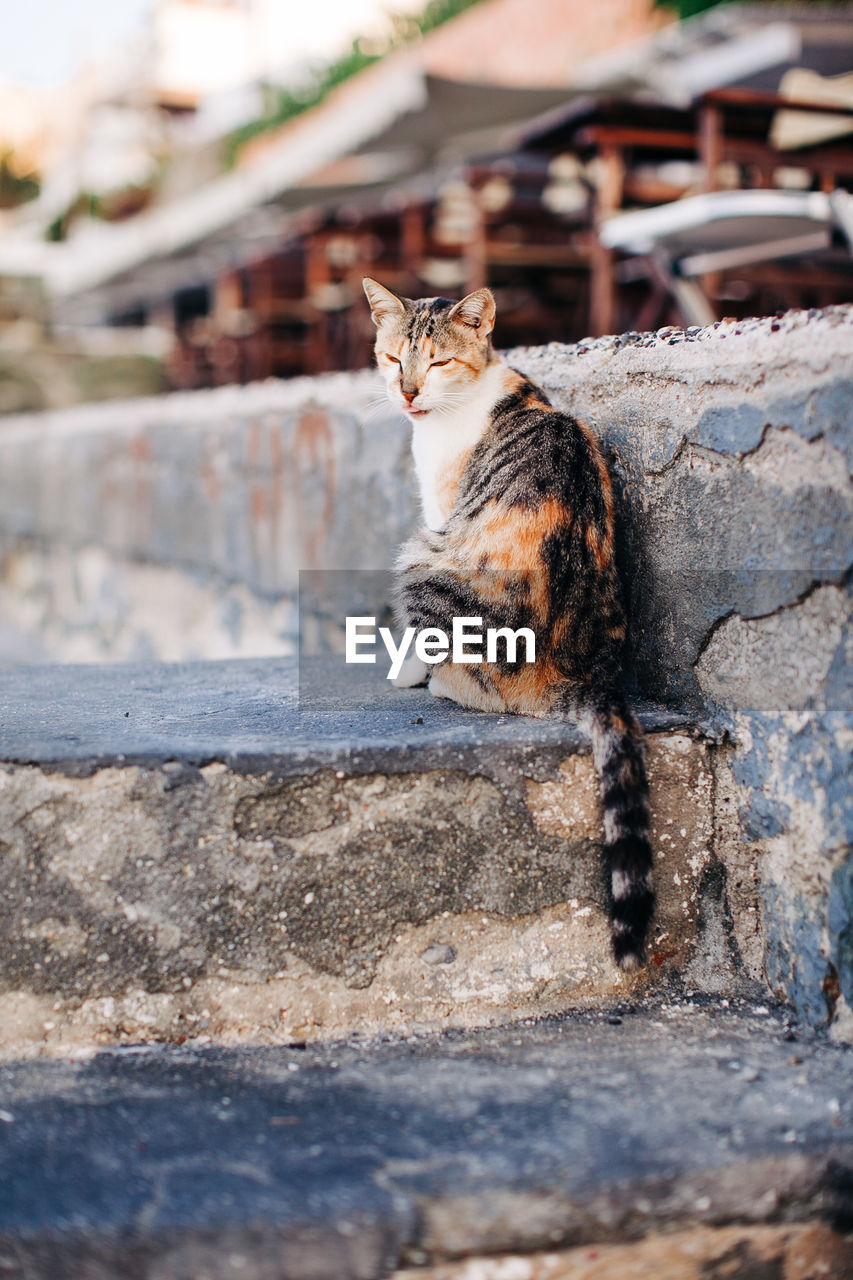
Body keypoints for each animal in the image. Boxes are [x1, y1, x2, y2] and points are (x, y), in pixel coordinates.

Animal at [361, 275, 650, 962]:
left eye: (437, 362)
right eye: (392, 358)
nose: (407, 392)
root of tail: (574, 672)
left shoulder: (440, 516)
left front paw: (405, 670)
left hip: (423, 556)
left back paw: (439, 679)